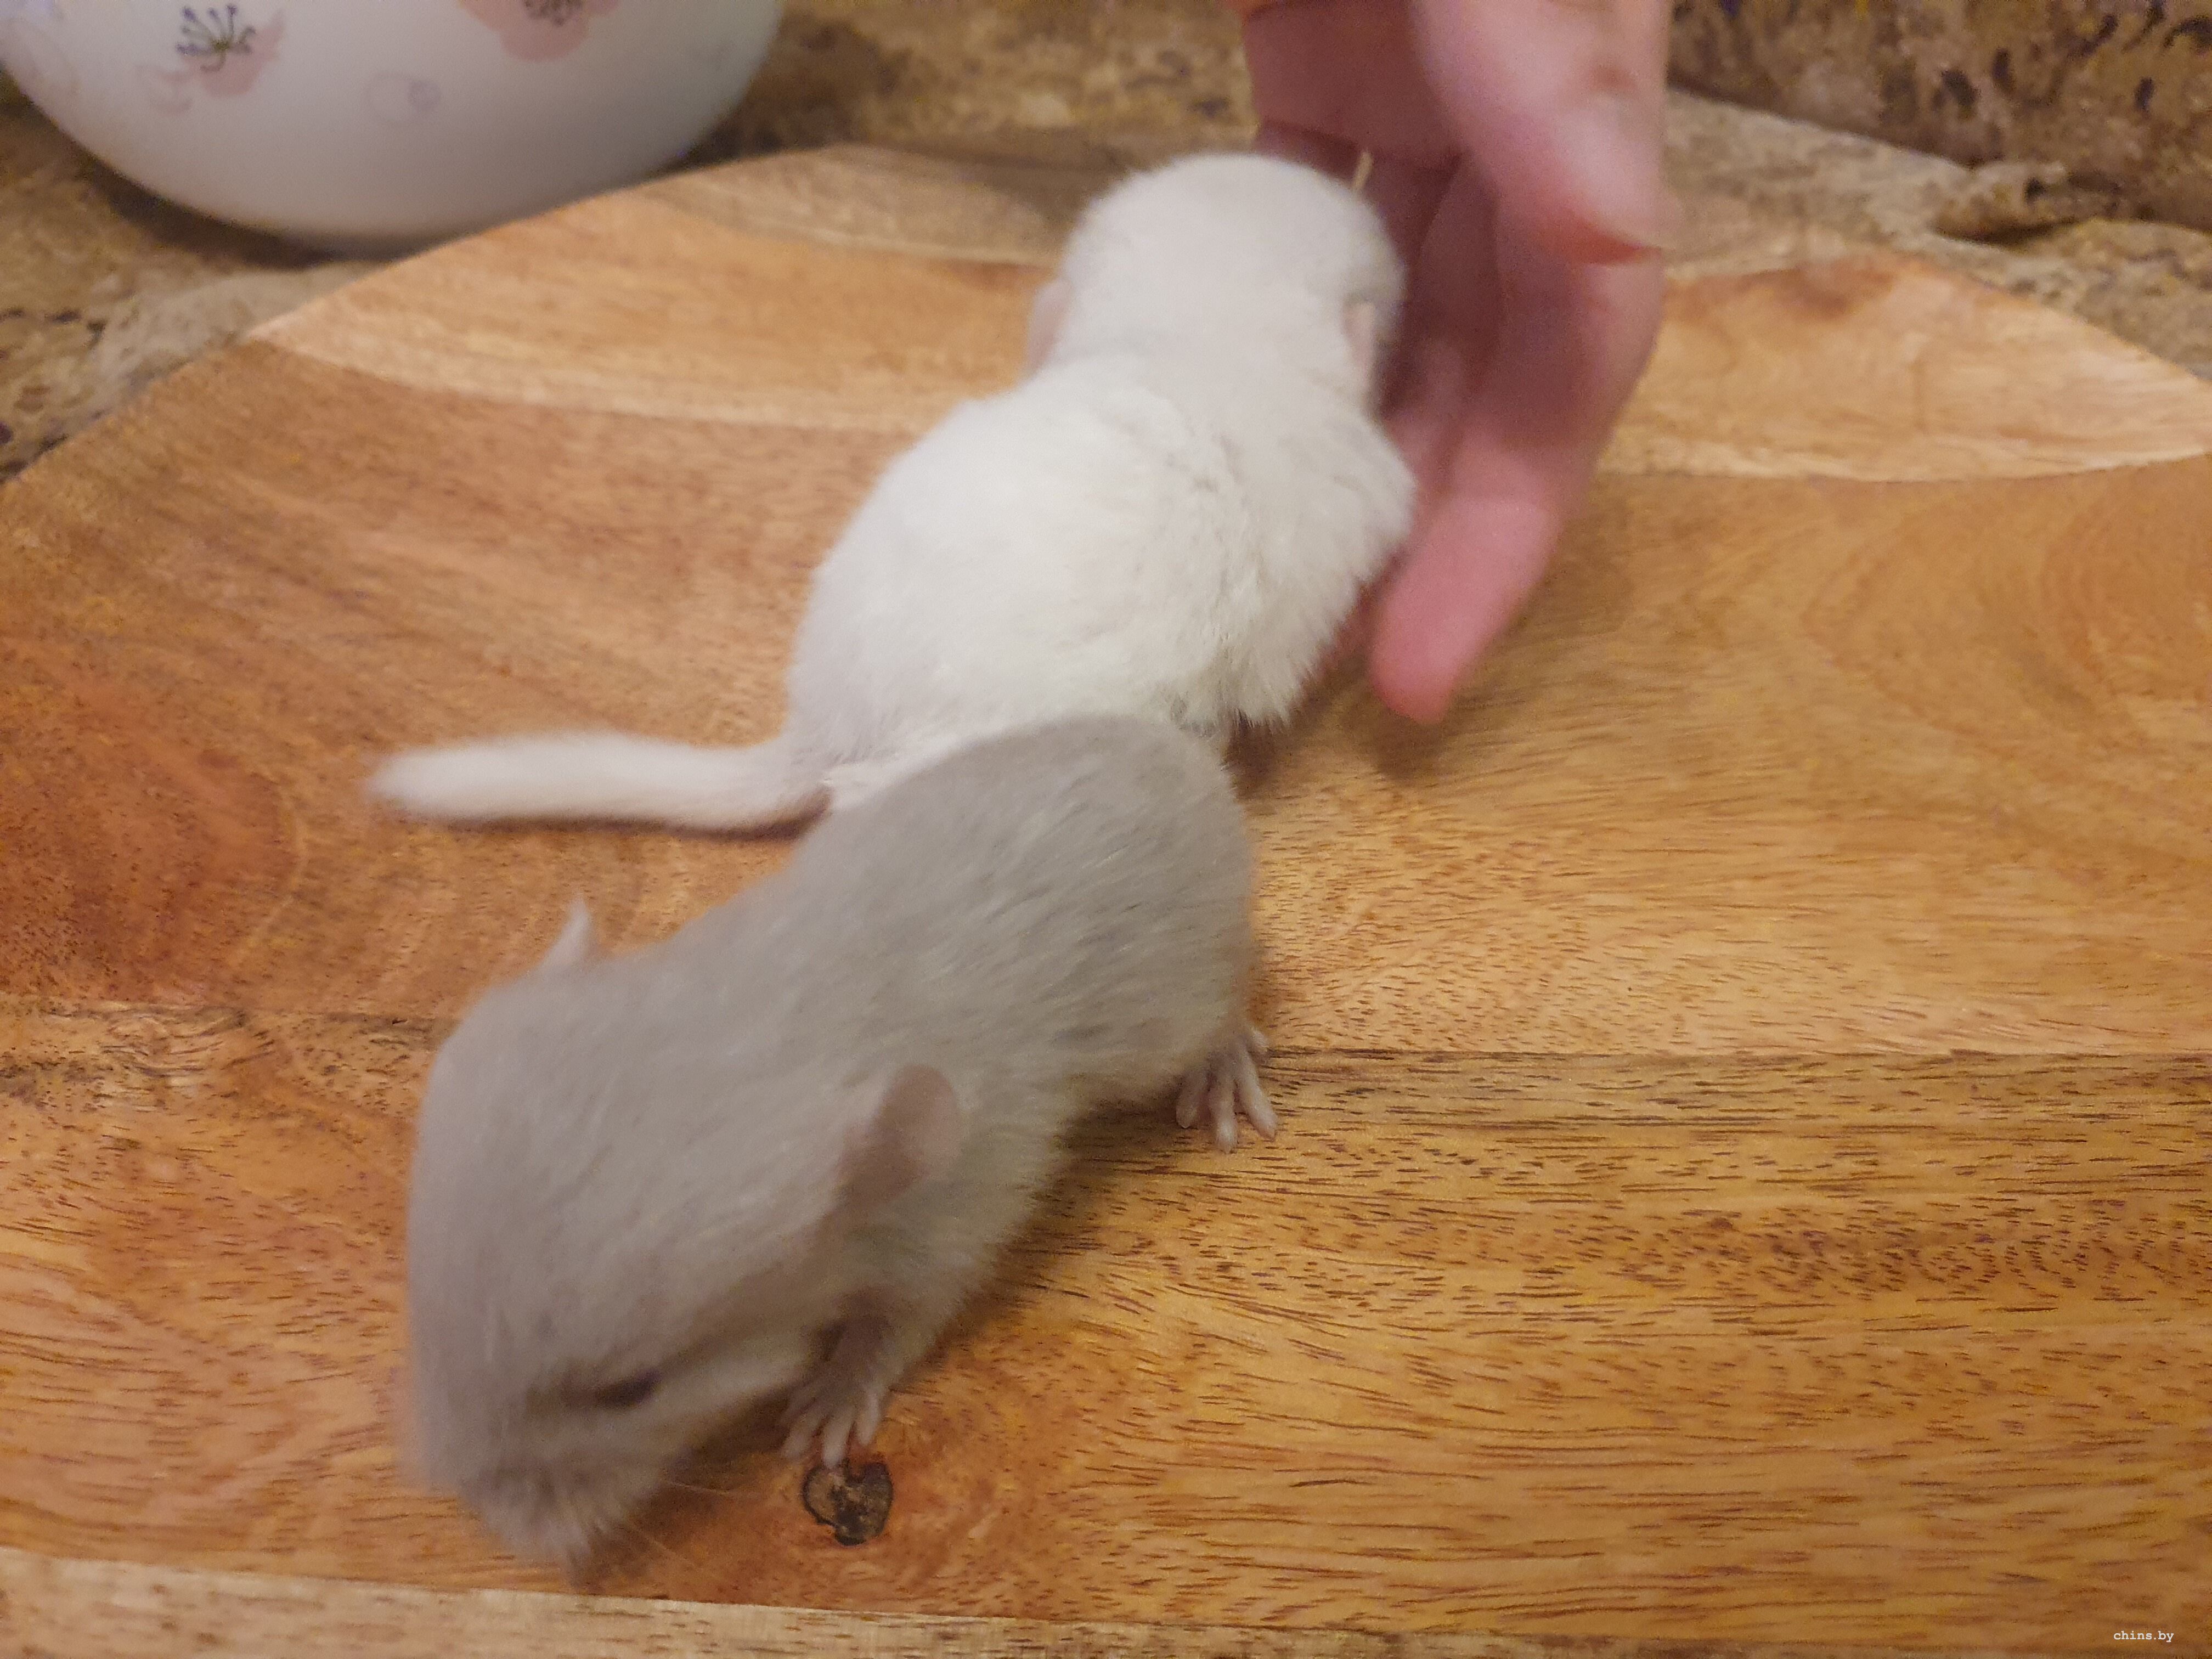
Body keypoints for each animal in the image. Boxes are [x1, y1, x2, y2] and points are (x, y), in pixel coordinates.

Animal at [404, 717, 1274, 1569]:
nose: (500, 1533)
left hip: (1177, 1015)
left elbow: (895, 1329)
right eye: (426, 1306)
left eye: (633, 1390)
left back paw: (1224, 1081)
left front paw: (820, 1415)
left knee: (1225, 1014)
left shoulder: (954, 1231)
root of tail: (1188, 761)